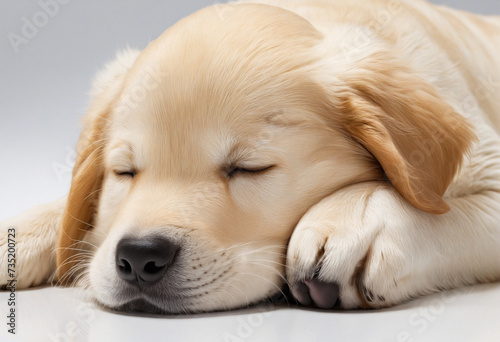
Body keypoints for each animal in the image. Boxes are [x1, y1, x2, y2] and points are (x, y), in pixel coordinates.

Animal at [2, 0, 500, 312]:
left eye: (249, 169)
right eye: (125, 172)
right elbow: (70, 211)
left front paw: (348, 222)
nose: (141, 257)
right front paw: (23, 233)